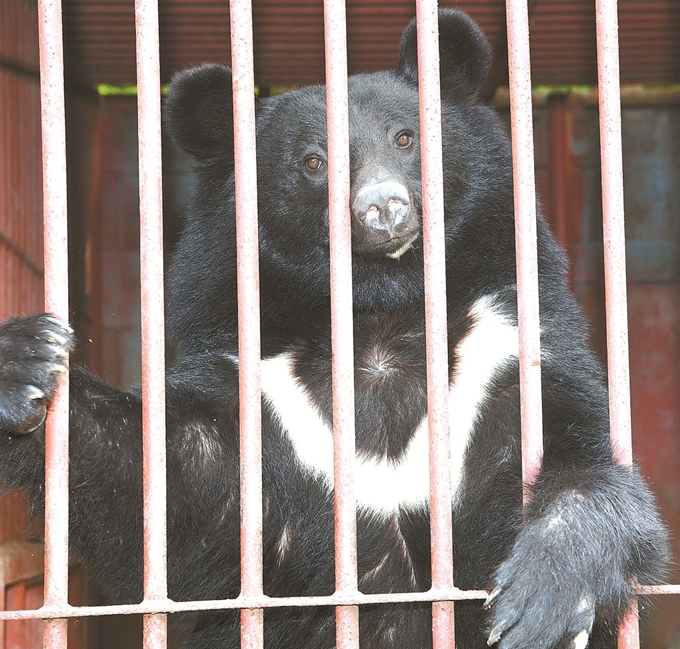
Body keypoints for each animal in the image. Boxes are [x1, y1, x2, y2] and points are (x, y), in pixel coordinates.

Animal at [0, 8, 668, 648]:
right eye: (314, 162)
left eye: (406, 137)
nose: (383, 208)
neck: (379, 314)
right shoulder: (257, 402)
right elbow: (158, 485)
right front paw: (28, 361)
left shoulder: (505, 348)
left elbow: (581, 458)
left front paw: (542, 603)